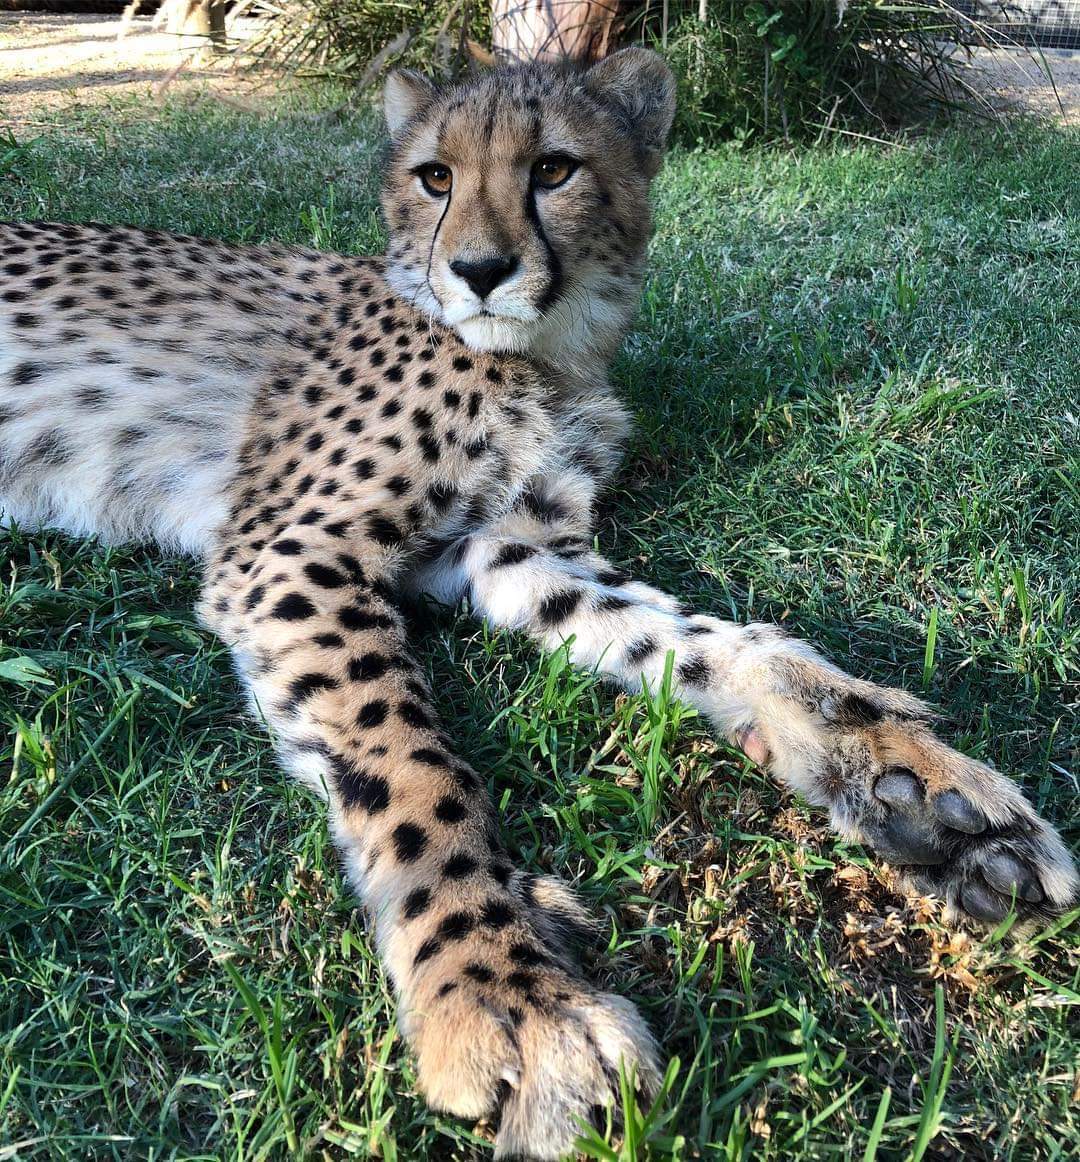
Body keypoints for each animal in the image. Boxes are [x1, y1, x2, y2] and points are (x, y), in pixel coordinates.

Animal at [0, 47, 1074, 1162]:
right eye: (434, 176)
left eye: (553, 168)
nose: (479, 269)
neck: (546, 355)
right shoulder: (285, 552)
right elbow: (413, 765)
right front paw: (501, 989)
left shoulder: (512, 551)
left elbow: (696, 640)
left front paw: (908, 781)